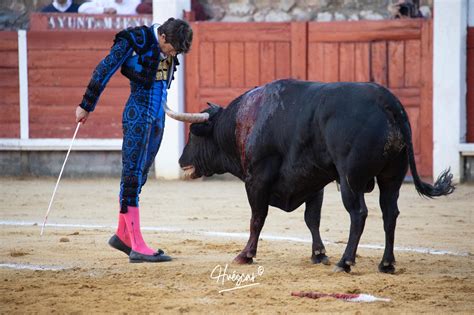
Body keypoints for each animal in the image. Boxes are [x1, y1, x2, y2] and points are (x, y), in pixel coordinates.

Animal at [180, 79, 454, 274]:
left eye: (193, 134)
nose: (182, 161)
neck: (242, 122)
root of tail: (388, 101)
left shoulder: (256, 179)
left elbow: (257, 218)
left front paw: (245, 254)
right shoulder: (312, 181)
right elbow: (312, 219)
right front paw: (319, 254)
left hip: (350, 179)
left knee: (359, 213)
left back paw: (345, 262)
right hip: (392, 177)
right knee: (390, 213)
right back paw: (386, 264)